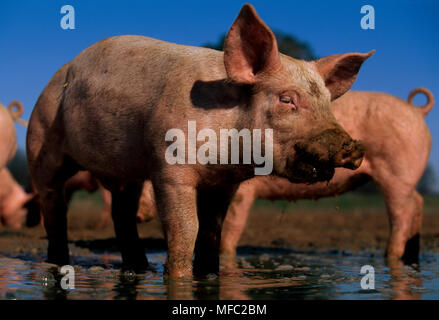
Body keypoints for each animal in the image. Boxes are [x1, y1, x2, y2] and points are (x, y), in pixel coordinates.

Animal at [25, 3, 372, 278]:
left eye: (327, 103)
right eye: (287, 99)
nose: (350, 145)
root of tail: (57, 74)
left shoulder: (225, 182)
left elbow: (212, 230)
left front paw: (209, 275)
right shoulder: (169, 168)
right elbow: (185, 228)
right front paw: (179, 277)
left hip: (126, 172)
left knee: (121, 212)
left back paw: (139, 269)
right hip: (41, 137)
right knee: (53, 205)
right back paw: (59, 262)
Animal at [222, 89, 434, 264]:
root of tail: (417, 111)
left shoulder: (243, 191)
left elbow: (231, 223)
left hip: (396, 171)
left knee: (402, 212)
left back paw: (391, 257)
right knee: (417, 201)